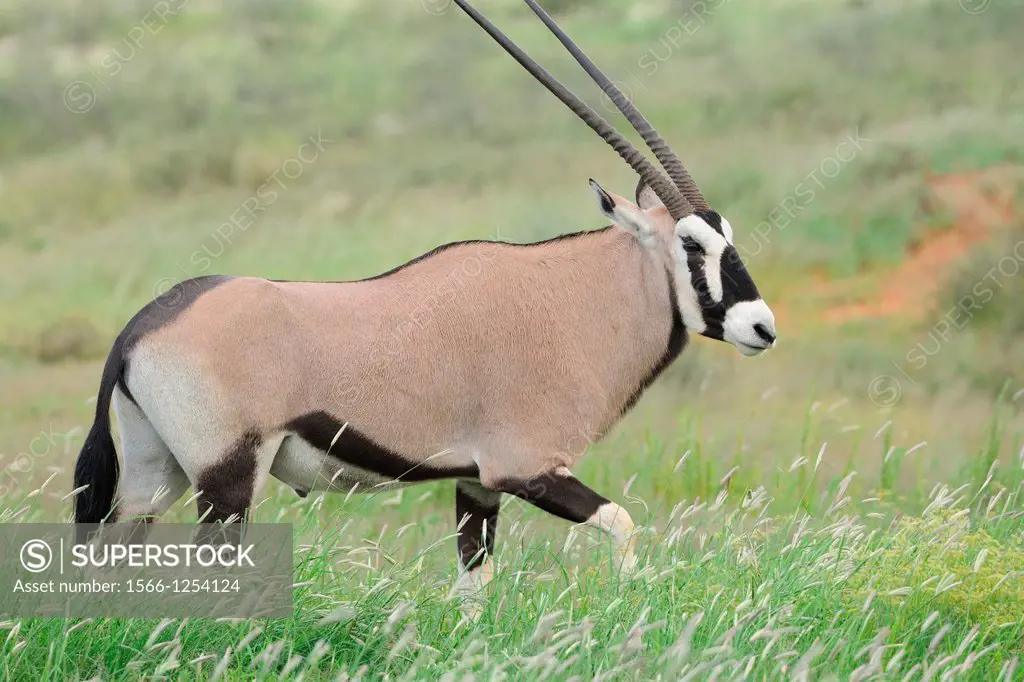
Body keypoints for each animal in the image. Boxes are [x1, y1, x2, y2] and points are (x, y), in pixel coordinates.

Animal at [72, 0, 774, 602]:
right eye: (691, 243)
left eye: (729, 233)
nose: (762, 327)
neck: (570, 297)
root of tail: (141, 327)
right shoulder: (525, 468)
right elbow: (622, 523)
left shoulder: (475, 482)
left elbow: (473, 586)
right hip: (226, 479)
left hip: (155, 476)